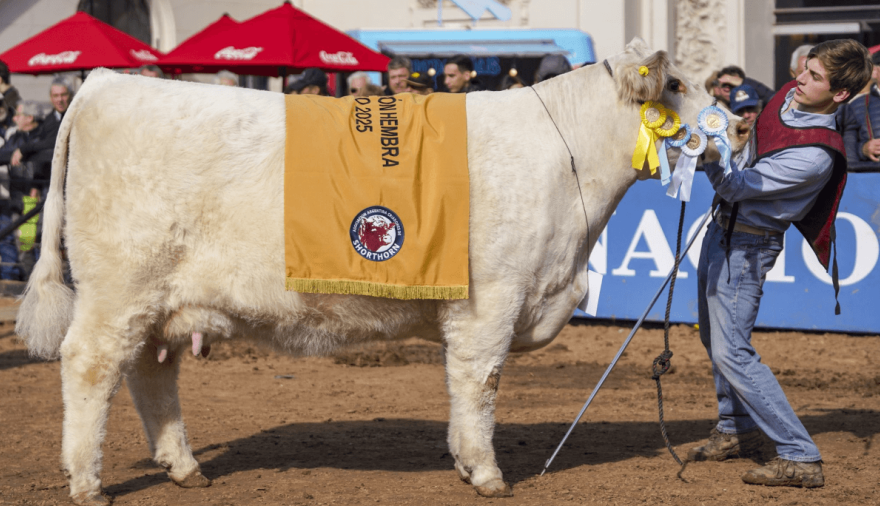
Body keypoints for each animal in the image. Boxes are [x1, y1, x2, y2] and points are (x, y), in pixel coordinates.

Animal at [16, 39, 748, 505]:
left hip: (161, 300)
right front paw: (486, 473)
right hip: (118, 289)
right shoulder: (494, 298)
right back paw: (87, 483)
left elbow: (465, 388)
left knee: (151, 375)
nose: (740, 128)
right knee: (90, 367)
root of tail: (106, 81)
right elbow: (480, 384)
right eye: (676, 86)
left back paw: (183, 467)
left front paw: (464, 463)